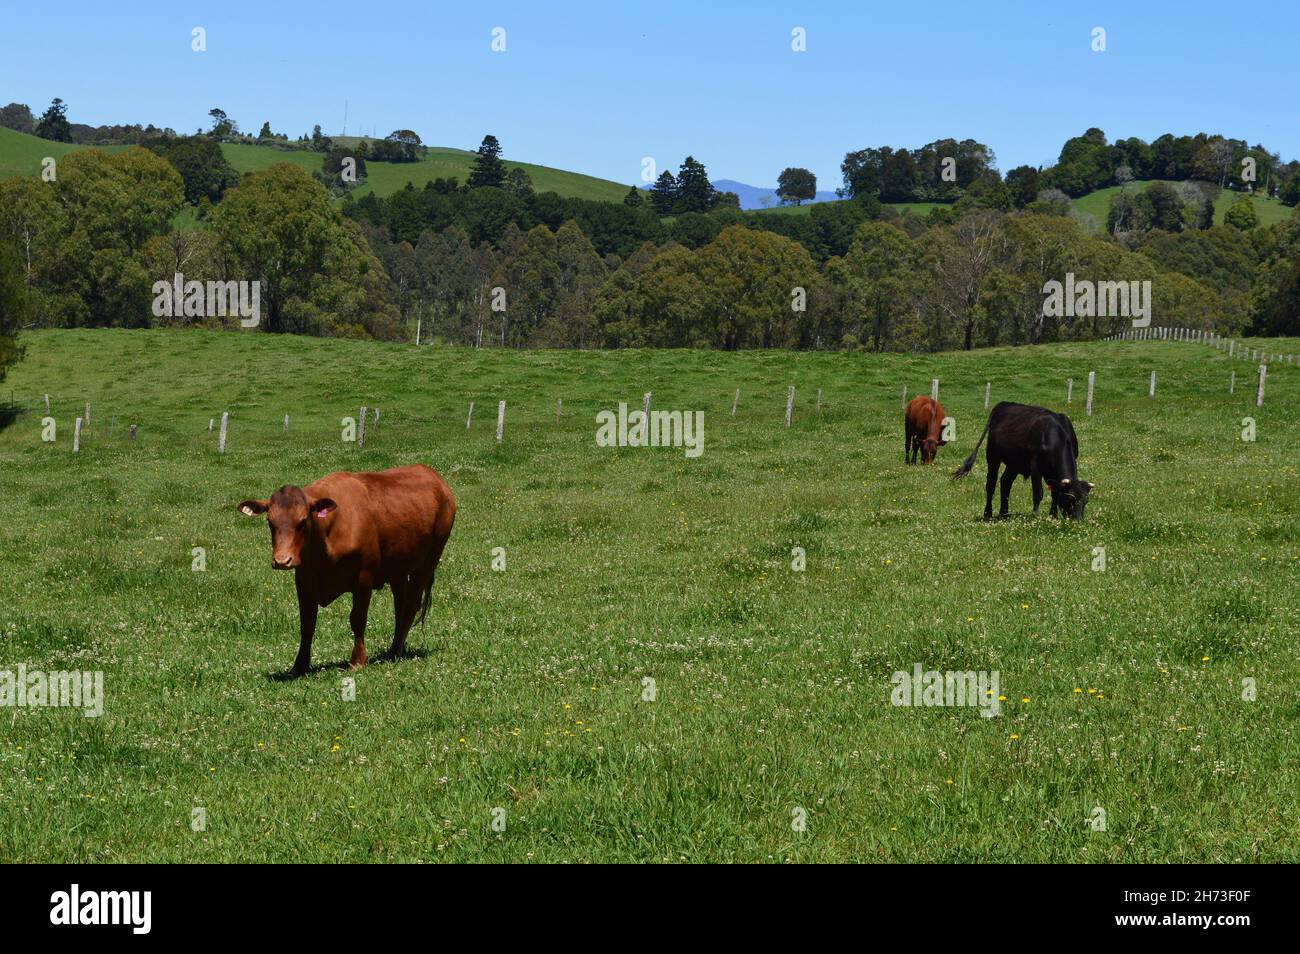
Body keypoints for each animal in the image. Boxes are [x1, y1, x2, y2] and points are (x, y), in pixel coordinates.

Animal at [238, 464, 455, 676]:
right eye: (270, 522)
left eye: (302, 521)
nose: (282, 560)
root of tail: (434, 477)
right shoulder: (304, 581)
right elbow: (307, 624)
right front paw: (299, 666)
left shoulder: (363, 577)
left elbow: (357, 618)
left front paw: (358, 661)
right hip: (398, 569)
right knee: (400, 607)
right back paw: (396, 648)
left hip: (428, 562)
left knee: (410, 606)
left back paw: (394, 652)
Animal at [951, 402, 1094, 520]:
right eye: (1070, 499)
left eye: (1086, 501)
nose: (1077, 521)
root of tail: (1004, 404)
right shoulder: (1035, 467)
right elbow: (1038, 493)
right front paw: (1036, 516)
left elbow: (1055, 492)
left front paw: (1053, 516)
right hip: (992, 456)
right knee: (991, 484)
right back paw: (988, 514)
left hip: (1014, 463)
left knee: (1005, 482)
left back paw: (1004, 513)